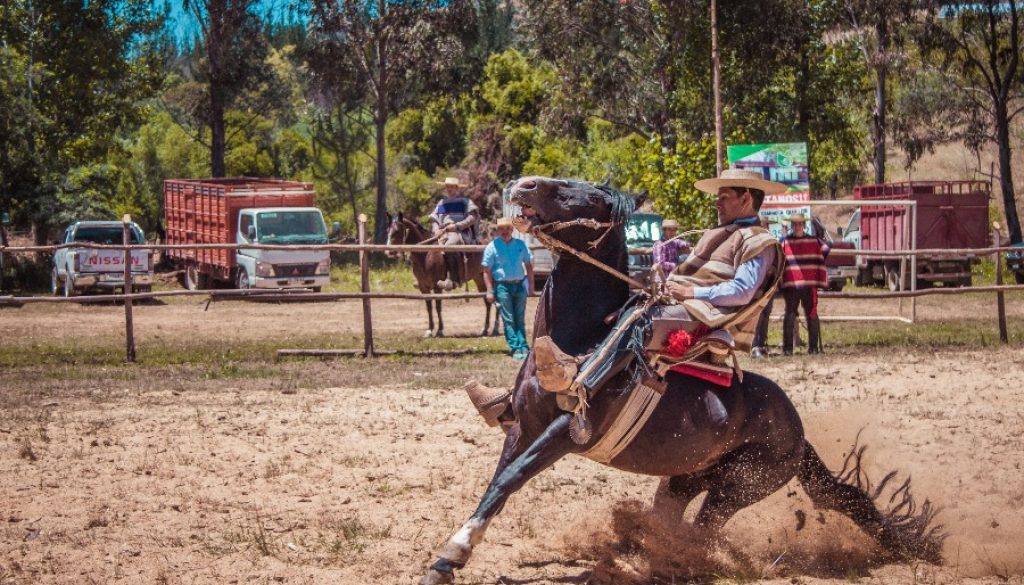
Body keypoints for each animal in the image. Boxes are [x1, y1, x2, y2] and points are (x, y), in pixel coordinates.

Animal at [419, 176, 946, 581]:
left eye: (585, 195)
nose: (523, 185)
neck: (582, 339)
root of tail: (797, 434)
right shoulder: (524, 427)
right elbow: (498, 483)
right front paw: (449, 558)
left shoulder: (567, 432)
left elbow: (512, 477)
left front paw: (452, 551)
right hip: (683, 480)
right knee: (674, 519)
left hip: (740, 486)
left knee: (702, 532)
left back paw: (667, 563)